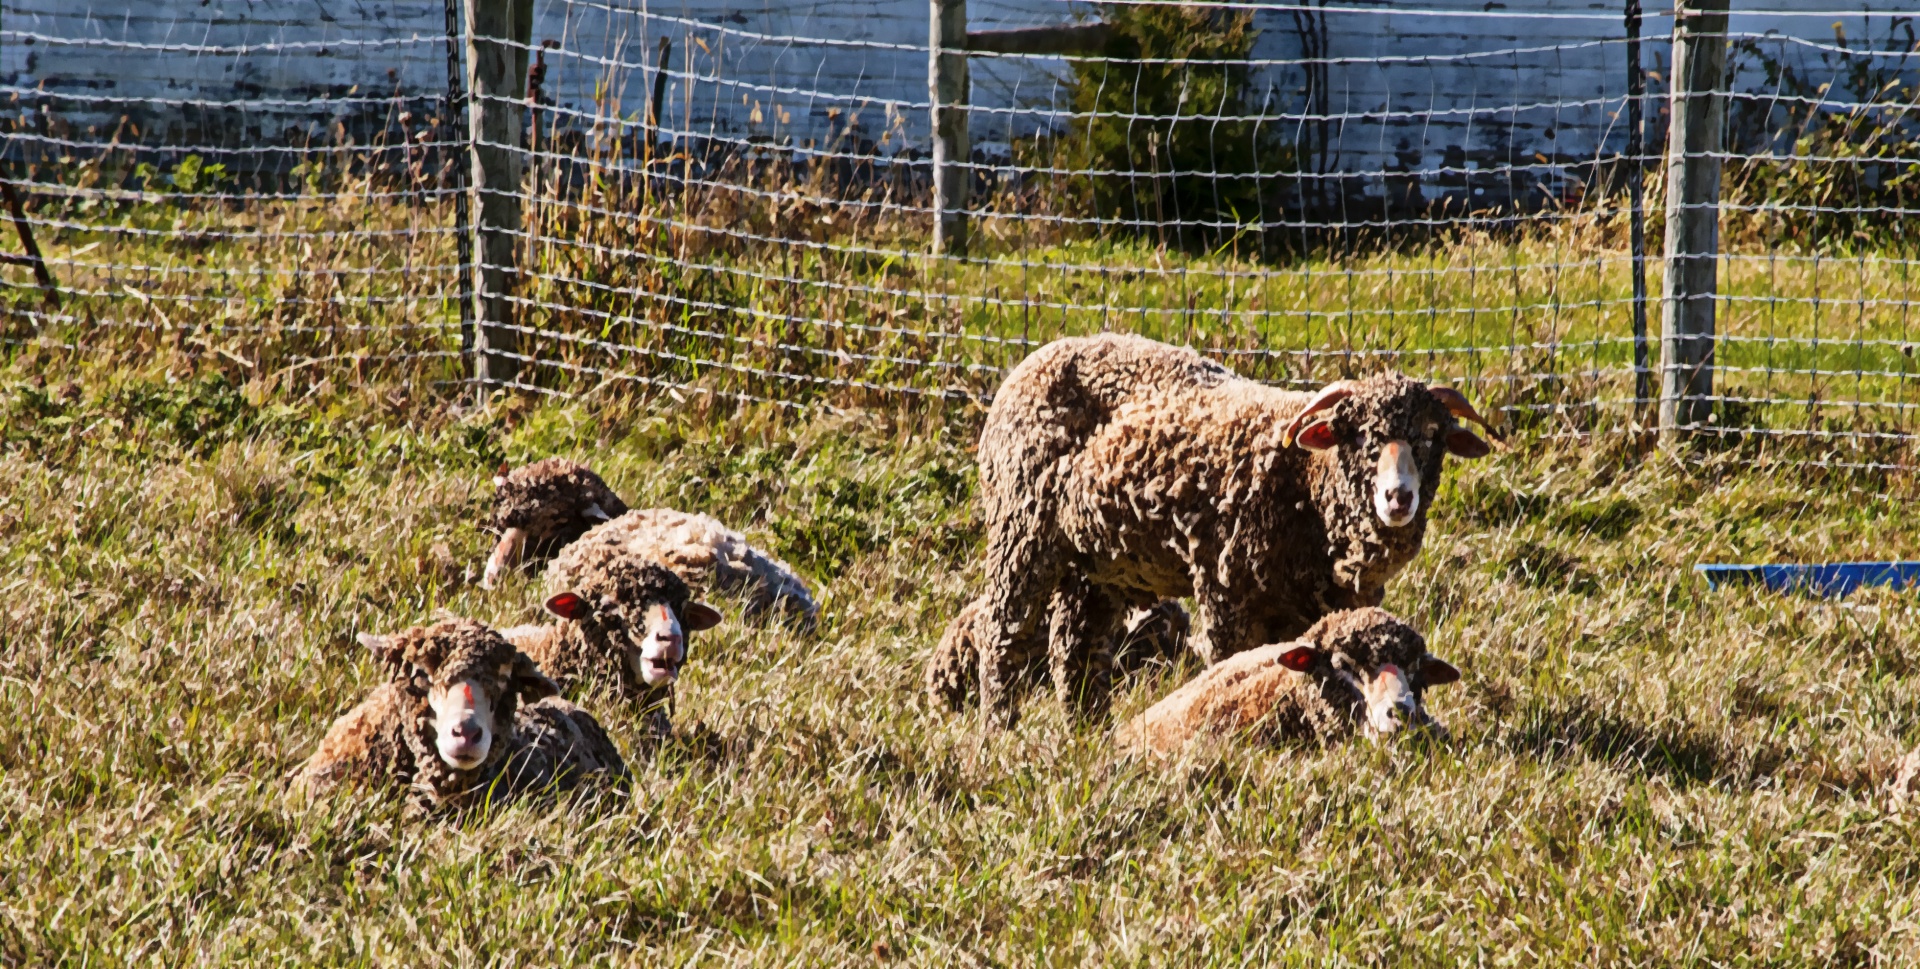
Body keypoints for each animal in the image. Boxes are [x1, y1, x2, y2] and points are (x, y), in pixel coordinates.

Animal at [944, 331, 1497, 725]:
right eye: (1360, 436)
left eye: (1431, 436)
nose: (1398, 497)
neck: (1308, 485)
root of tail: (1027, 364)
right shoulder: (1225, 591)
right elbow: (1233, 666)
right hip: (1021, 530)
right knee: (1002, 636)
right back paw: (998, 728)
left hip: (1096, 562)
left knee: (1075, 650)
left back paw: (1086, 732)